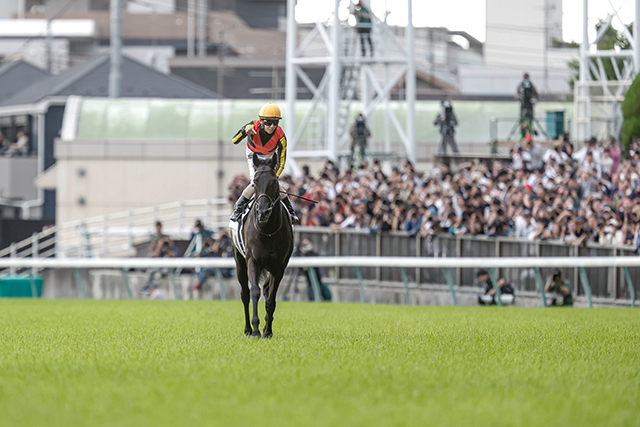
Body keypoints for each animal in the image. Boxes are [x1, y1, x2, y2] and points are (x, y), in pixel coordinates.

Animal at [232, 152, 294, 338]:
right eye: (255, 182)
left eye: (274, 182)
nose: (263, 212)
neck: (268, 230)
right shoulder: (253, 260)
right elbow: (254, 292)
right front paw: (255, 329)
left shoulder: (279, 266)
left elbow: (271, 298)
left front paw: (267, 330)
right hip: (239, 262)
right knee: (244, 294)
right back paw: (247, 329)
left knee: (266, 291)